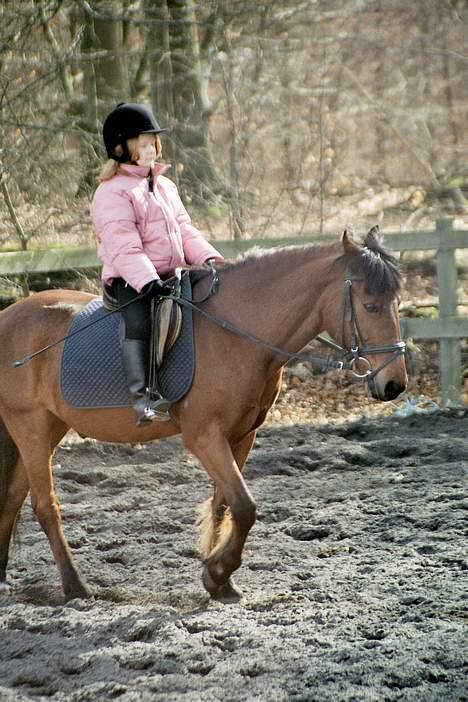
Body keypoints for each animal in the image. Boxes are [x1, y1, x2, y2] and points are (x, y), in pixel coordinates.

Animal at [0, 230, 406, 604]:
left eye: (396, 302)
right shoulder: (203, 437)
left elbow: (226, 504)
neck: (236, 333)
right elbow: (244, 506)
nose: (394, 385)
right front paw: (218, 571)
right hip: (30, 424)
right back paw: (76, 587)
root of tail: (9, 316)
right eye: (370, 306)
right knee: (45, 506)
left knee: (14, 496)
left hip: (47, 427)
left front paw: (218, 579)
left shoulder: (241, 435)